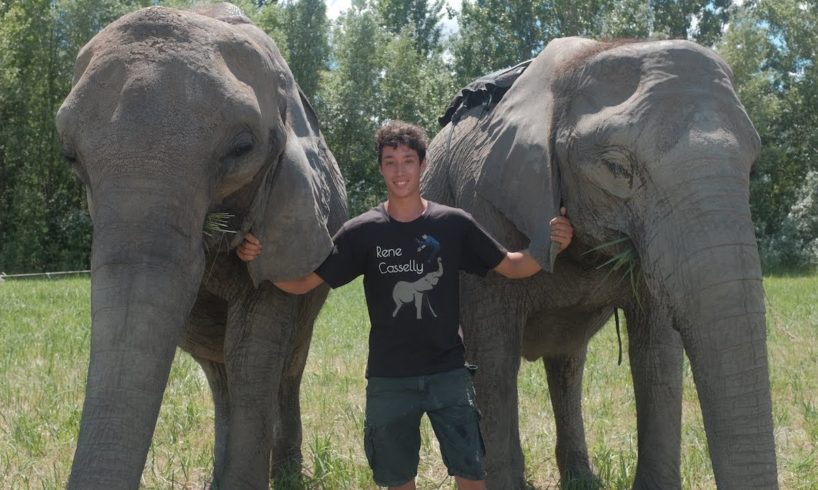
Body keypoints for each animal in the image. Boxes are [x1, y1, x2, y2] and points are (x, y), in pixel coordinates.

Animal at [54, 4, 346, 490]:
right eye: (70, 156)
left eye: (242, 147)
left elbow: (255, 353)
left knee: (284, 364)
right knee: (217, 371)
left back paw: (287, 474)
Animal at [424, 39, 776, 490]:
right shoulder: (480, 208)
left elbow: (658, 353)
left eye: (752, 165)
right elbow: (493, 358)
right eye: (615, 168)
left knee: (568, 364)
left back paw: (582, 479)